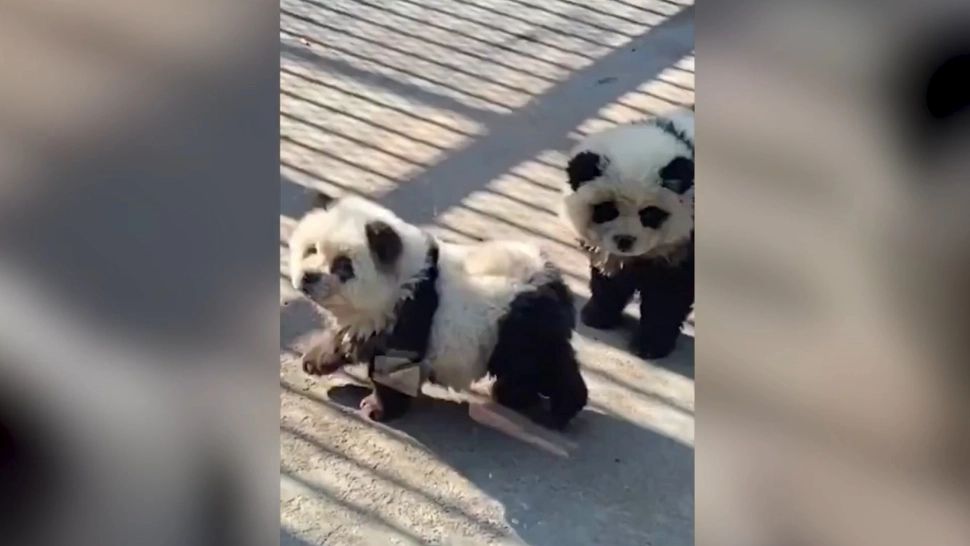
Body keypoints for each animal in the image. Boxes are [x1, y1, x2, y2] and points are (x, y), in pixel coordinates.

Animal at [288, 196, 588, 429]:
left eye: (343, 265)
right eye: (311, 249)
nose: (308, 277)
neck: (404, 277)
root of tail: (554, 281)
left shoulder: (409, 314)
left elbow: (393, 369)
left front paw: (377, 408)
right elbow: (350, 335)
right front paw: (315, 360)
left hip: (518, 325)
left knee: (542, 366)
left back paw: (561, 409)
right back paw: (515, 395)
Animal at [561, 108, 694, 359]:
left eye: (650, 214)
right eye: (607, 209)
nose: (625, 241)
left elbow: (669, 295)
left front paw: (650, 344)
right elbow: (609, 277)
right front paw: (597, 314)